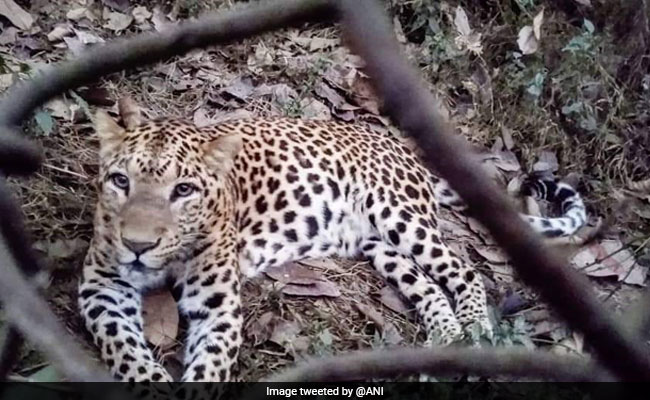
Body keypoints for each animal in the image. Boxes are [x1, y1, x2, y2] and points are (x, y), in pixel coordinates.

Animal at [78, 99, 586, 382]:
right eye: (120, 181)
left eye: (183, 190)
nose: (137, 245)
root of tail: (402, 148)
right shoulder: (102, 285)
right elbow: (123, 346)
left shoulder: (217, 303)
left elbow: (210, 366)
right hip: (378, 245)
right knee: (426, 283)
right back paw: (444, 338)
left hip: (401, 214)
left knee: (462, 268)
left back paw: (476, 330)